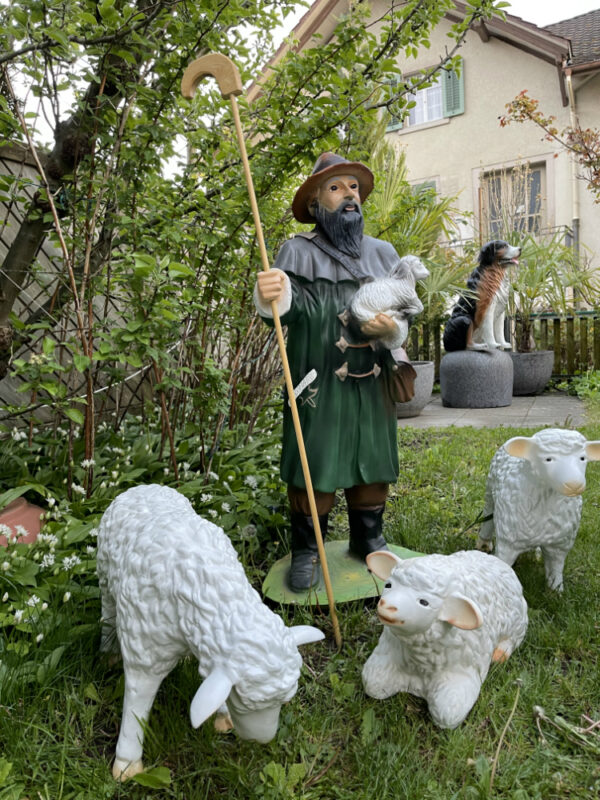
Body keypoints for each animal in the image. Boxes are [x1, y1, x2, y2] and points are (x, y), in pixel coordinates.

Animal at [96, 484, 326, 780]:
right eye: (244, 702)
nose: (263, 740)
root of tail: (143, 487)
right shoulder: (145, 650)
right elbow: (137, 704)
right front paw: (127, 766)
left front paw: (222, 716)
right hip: (104, 573)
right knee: (108, 611)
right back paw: (108, 653)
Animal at [360, 552, 524, 732]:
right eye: (388, 585)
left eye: (424, 602)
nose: (386, 605)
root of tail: (497, 560)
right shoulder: (389, 648)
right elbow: (373, 681)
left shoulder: (465, 667)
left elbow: (449, 710)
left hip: (517, 620)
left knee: (515, 637)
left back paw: (500, 654)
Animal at [478, 428, 600, 592]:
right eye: (548, 459)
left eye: (582, 458)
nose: (574, 485)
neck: (545, 502)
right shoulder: (508, 542)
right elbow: (503, 567)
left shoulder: (560, 544)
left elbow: (556, 567)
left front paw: (556, 590)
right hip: (490, 490)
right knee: (488, 515)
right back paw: (483, 543)